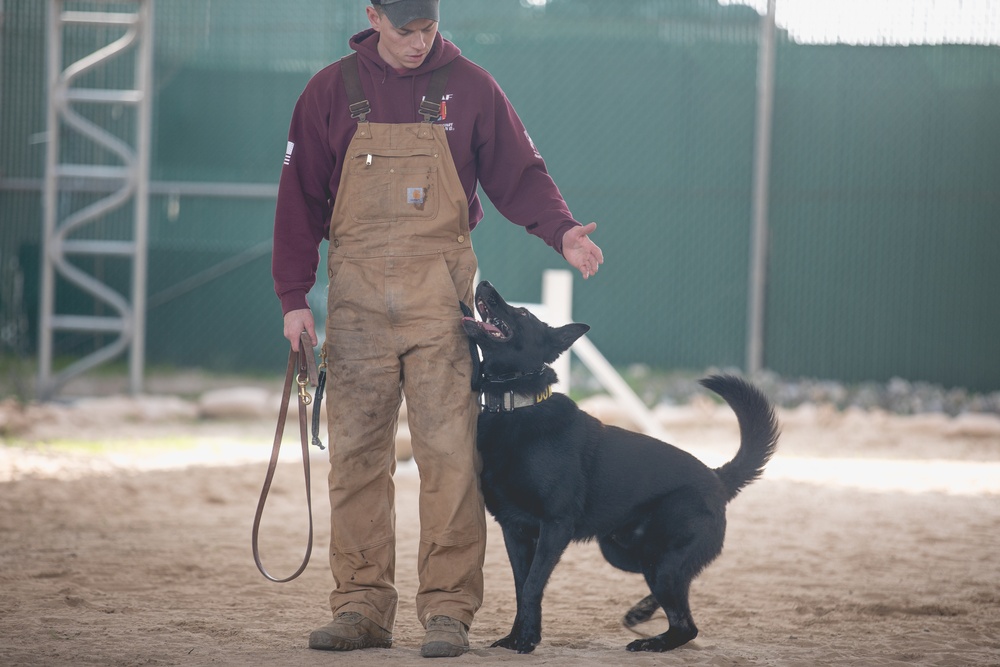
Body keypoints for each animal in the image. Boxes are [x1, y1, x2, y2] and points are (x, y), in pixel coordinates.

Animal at [460, 280, 780, 656]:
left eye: (522, 313)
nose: (484, 284)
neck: (515, 407)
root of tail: (717, 478)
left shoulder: (555, 526)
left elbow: (532, 585)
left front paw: (525, 641)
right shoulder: (515, 531)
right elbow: (522, 587)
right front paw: (519, 637)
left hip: (660, 563)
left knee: (686, 624)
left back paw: (651, 642)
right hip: (625, 554)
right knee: (682, 595)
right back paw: (641, 613)